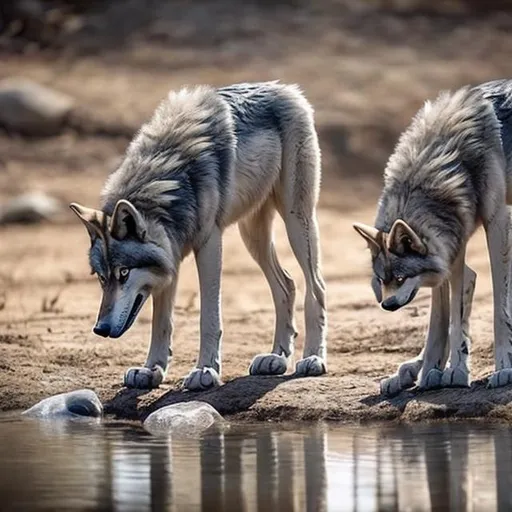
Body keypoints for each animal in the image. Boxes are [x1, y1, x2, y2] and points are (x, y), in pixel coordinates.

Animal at [70, 82, 326, 390]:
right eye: (102, 277)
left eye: (124, 273)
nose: (100, 329)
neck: (167, 180)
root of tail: (284, 88)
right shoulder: (171, 255)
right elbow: (161, 322)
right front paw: (151, 370)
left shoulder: (209, 243)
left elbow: (208, 317)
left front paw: (205, 370)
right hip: (253, 236)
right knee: (287, 284)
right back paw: (276, 358)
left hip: (297, 221)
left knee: (316, 287)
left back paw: (312, 358)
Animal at [352, 80, 512, 394]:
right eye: (381, 280)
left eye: (400, 277)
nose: (387, 305)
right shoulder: (452, 243)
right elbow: (442, 319)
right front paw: (435, 371)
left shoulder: (496, 221)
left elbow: (496, 309)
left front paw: (498, 369)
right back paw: (410, 371)